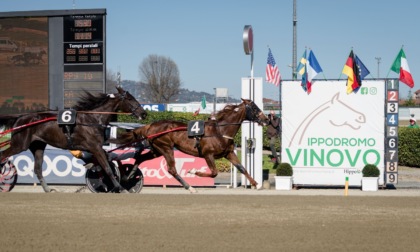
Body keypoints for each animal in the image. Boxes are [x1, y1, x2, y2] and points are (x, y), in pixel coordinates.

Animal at [0, 86, 148, 193]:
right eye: (130, 99)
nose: (144, 113)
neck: (93, 119)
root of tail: (20, 118)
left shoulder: (95, 149)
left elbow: (105, 163)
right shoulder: (95, 147)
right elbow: (107, 168)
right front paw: (121, 188)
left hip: (38, 146)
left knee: (37, 168)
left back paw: (48, 189)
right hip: (20, 144)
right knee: (3, 155)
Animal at [109, 98, 270, 193]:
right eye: (255, 108)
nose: (267, 119)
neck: (220, 131)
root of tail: (150, 126)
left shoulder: (228, 153)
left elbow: (242, 168)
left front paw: (257, 184)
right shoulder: (208, 154)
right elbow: (214, 172)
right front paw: (193, 172)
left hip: (157, 150)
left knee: (140, 158)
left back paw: (128, 176)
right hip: (166, 149)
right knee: (172, 170)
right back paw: (190, 187)